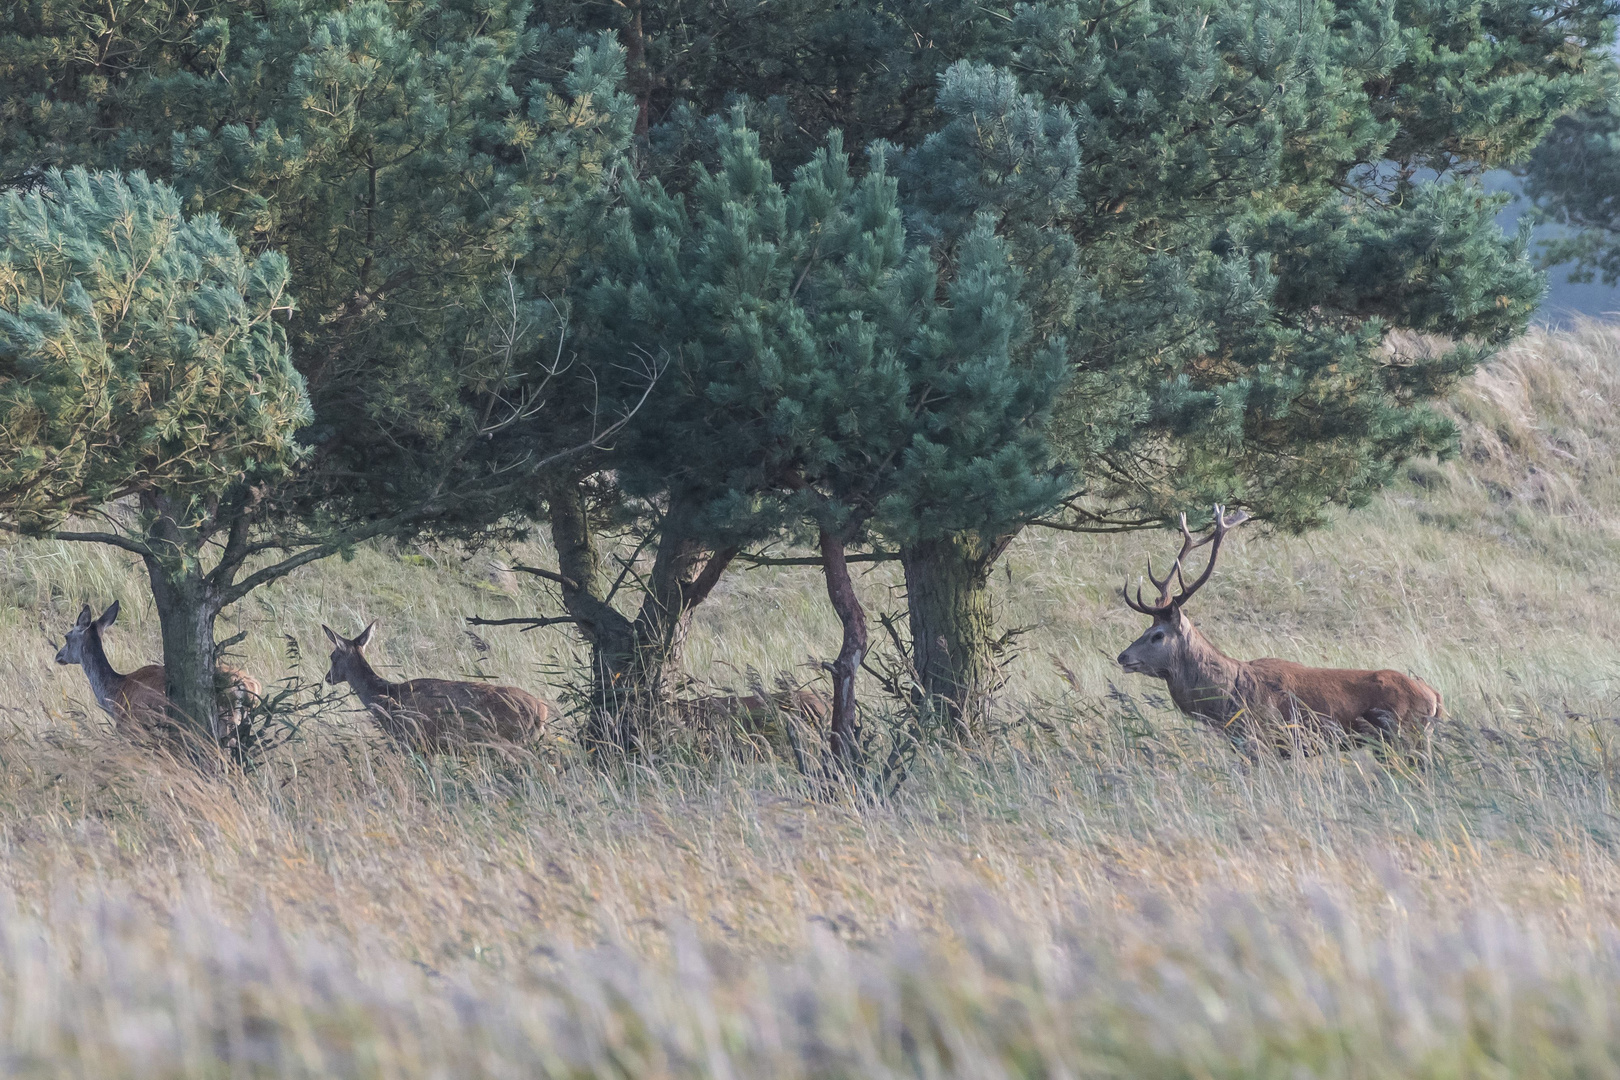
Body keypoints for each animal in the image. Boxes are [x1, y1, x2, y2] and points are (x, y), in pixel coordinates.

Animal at [56, 605, 262, 748]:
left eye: (67, 636)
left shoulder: (131, 727)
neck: (115, 694)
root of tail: (249, 687)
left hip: (224, 721)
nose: (58, 656)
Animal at [320, 625, 550, 751]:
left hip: (512, 740)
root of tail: (540, 710)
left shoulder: (412, 739)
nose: (327, 677)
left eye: (332, 656)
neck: (387, 696)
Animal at [1114, 508, 1445, 757]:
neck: (1227, 699)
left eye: (1158, 634)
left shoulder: (1265, 739)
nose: (1122, 657)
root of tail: (1434, 696)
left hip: (1403, 737)